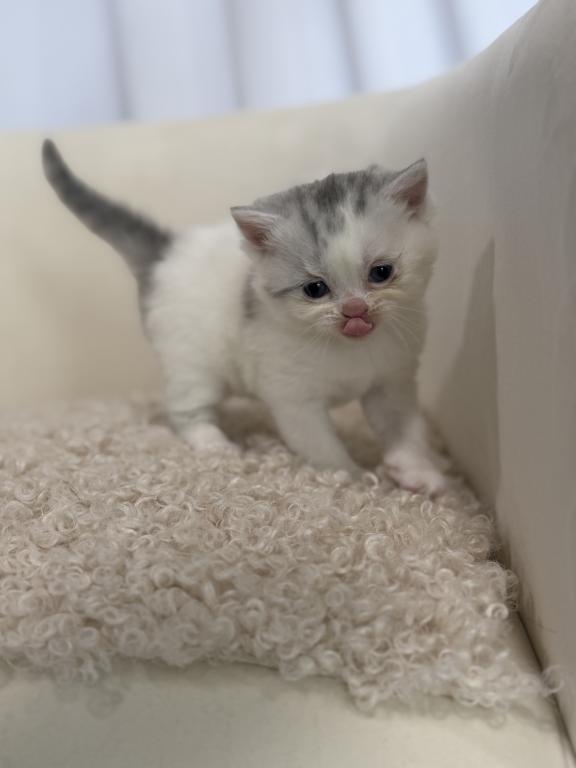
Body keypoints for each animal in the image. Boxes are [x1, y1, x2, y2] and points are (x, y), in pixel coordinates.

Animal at [42, 140, 446, 496]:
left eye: (381, 272)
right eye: (315, 289)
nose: (355, 310)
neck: (351, 350)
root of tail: (169, 251)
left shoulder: (393, 379)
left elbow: (404, 427)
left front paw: (417, 471)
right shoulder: (293, 399)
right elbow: (322, 446)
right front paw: (354, 479)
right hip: (190, 362)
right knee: (186, 409)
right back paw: (214, 445)